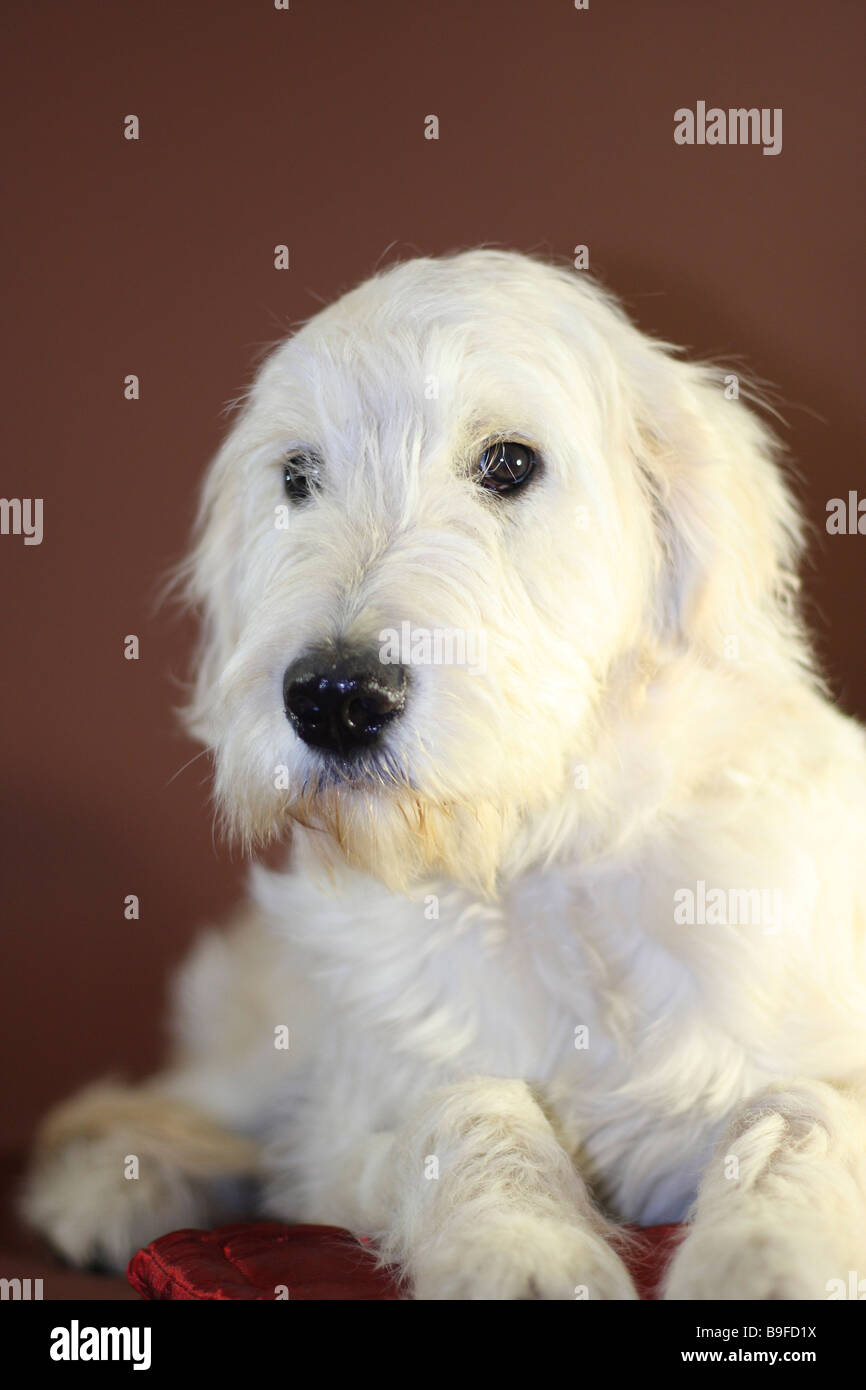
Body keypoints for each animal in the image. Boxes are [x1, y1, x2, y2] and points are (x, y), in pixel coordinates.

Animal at [23, 252, 866, 1301]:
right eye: (298, 476)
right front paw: (521, 1252)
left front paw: (768, 1260)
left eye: (510, 463)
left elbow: (798, 1116)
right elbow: (468, 1108)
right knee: (175, 1110)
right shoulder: (357, 1118)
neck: (541, 865)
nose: (335, 698)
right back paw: (114, 1187)